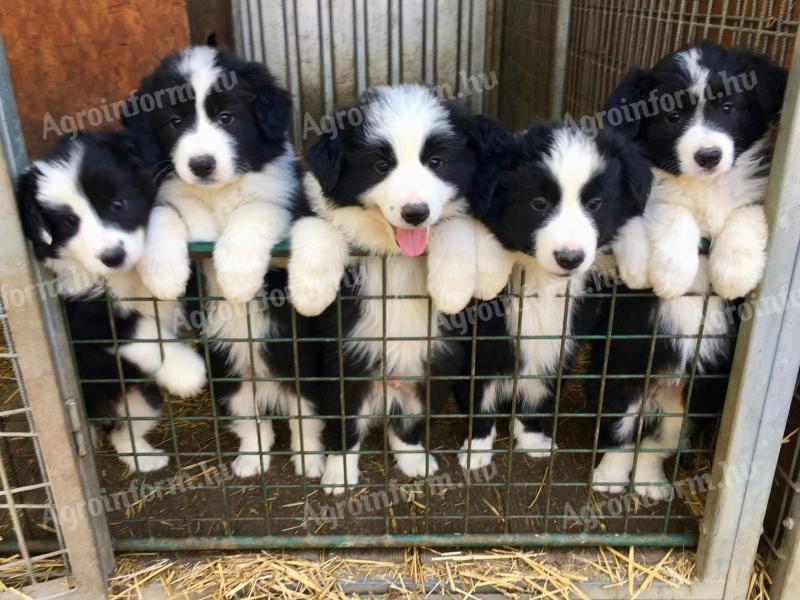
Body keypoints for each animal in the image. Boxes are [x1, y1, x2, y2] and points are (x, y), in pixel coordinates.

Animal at [15, 131, 206, 474]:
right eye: (69, 221)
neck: (122, 276)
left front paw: (165, 272)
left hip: (138, 397)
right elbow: (138, 330)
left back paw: (147, 458)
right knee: (118, 431)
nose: (112, 256)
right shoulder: (80, 314)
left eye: (118, 204)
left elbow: (163, 212)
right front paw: (186, 370)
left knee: (123, 431)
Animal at [126, 45, 324, 478]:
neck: (217, 197)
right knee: (252, 422)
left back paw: (309, 462)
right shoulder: (172, 203)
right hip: (228, 372)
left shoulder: (285, 206)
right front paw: (164, 275)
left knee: (306, 417)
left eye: (227, 117)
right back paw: (251, 461)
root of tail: (264, 380)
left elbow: (254, 212)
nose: (201, 164)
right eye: (175, 121)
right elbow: (165, 214)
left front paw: (236, 280)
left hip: (304, 366)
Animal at [286, 85, 500, 496]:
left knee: (408, 423)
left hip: (432, 366)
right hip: (346, 368)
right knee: (347, 424)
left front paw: (452, 288)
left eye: (436, 162)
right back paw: (337, 473)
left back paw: (414, 459)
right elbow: (318, 224)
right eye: (381, 166)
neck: (393, 254)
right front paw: (311, 291)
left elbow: (456, 226)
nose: (415, 213)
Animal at [456, 122, 648, 468]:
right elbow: (480, 396)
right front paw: (476, 451)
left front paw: (532, 439)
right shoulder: (481, 340)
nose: (569, 258)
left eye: (595, 204)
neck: (541, 284)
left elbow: (538, 391)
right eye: (539, 204)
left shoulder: (563, 335)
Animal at [592, 43, 788, 502]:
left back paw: (649, 484)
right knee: (620, 435)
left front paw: (735, 271)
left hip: (694, 399)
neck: (704, 189)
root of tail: (662, 386)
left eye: (729, 107)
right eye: (672, 117)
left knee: (656, 444)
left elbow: (746, 216)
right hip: (621, 376)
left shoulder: (752, 196)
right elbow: (669, 208)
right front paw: (673, 274)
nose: (708, 156)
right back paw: (608, 479)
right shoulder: (645, 200)